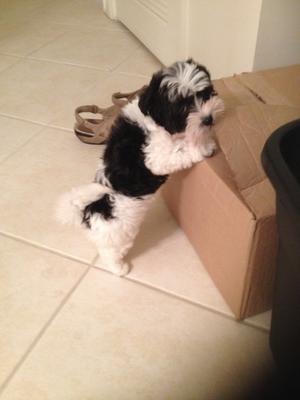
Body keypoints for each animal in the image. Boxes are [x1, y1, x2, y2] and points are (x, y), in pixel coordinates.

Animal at [56, 59, 223, 276]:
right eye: (183, 107)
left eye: (205, 94)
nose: (208, 119)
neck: (154, 117)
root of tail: (88, 212)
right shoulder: (155, 157)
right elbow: (180, 151)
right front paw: (204, 147)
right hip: (118, 237)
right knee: (110, 253)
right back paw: (119, 269)